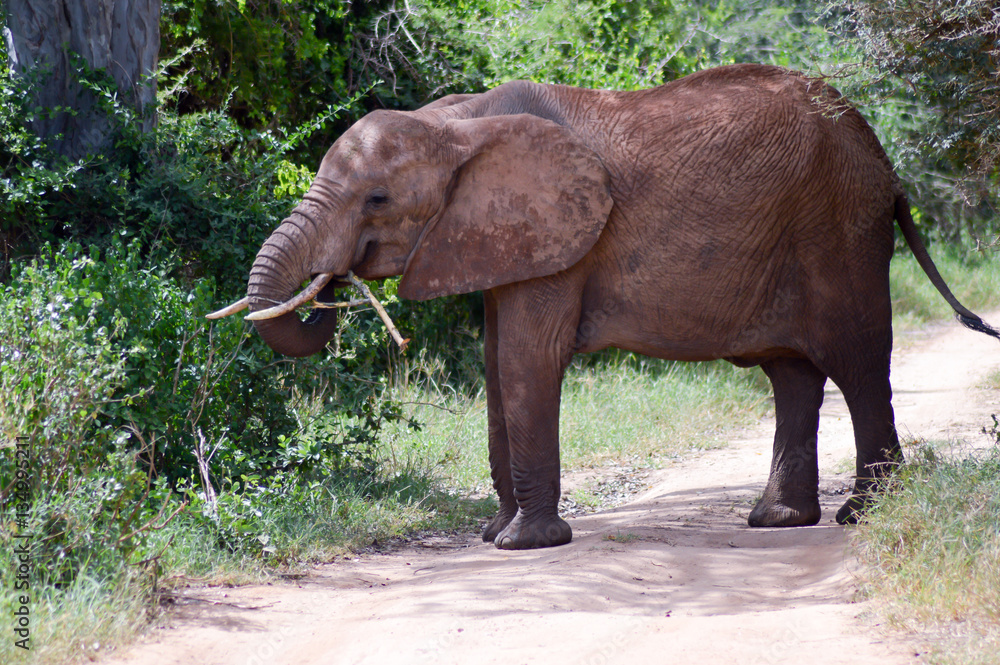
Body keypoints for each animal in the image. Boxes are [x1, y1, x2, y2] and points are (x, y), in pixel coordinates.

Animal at [209, 63, 999, 550]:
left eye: (377, 199)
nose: (332, 286)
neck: (458, 122)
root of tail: (884, 162)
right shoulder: (508, 239)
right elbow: (498, 366)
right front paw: (496, 535)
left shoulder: (563, 237)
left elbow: (526, 363)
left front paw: (523, 545)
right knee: (791, 373)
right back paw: (779, 520)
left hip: (838, 226)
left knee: (857, 362)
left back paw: (862, 514)